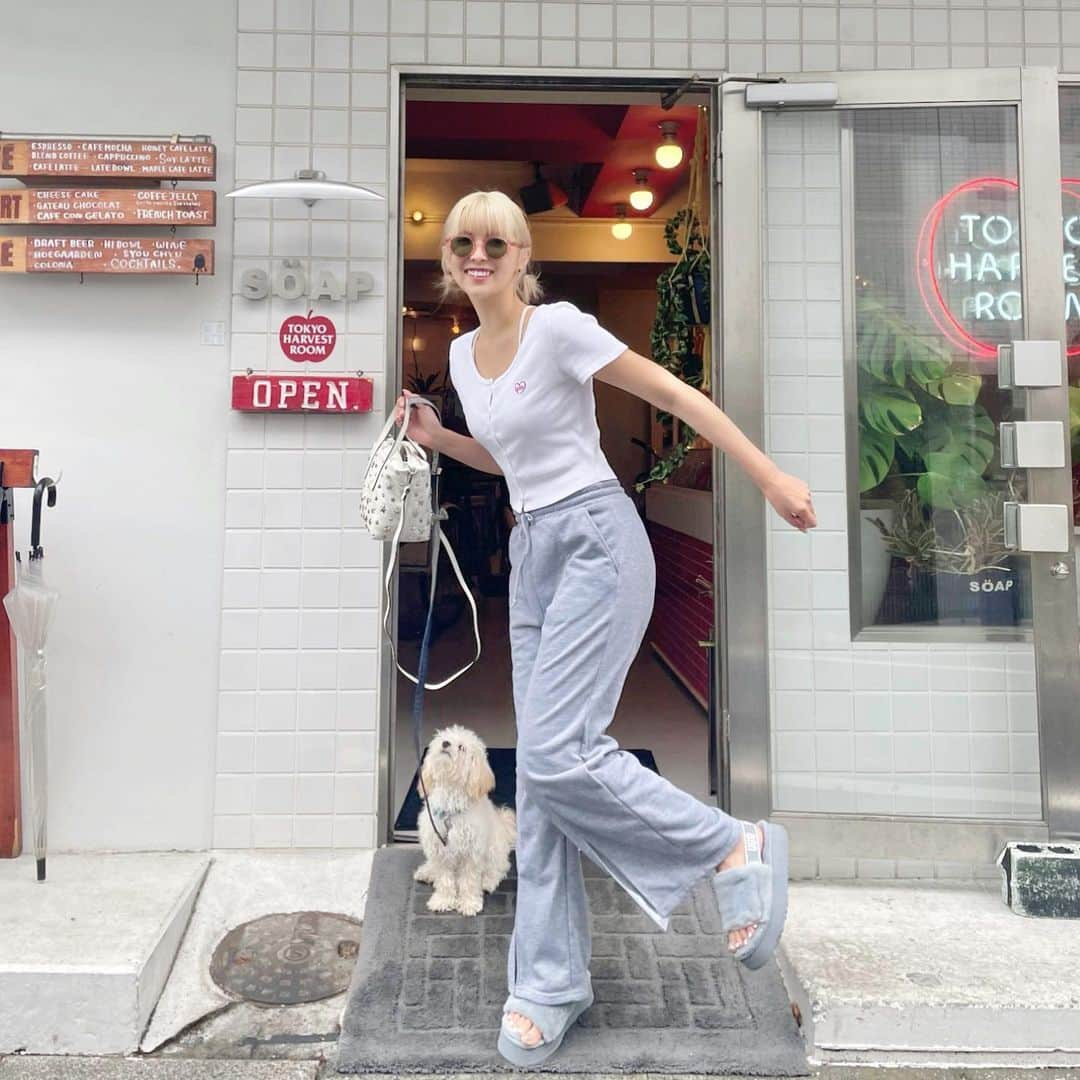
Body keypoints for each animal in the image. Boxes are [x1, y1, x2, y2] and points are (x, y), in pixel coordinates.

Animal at [410, 721, 516, 915]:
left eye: (461, 747)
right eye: (444, 739)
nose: (445, 744)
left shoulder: (472, 852)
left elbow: (469, 880)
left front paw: (469, 903)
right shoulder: (440, 850)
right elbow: (444, 879)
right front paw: (443, 900)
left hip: (494, 850)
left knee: (499, 868)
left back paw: (487, 881)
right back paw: (427, 872)